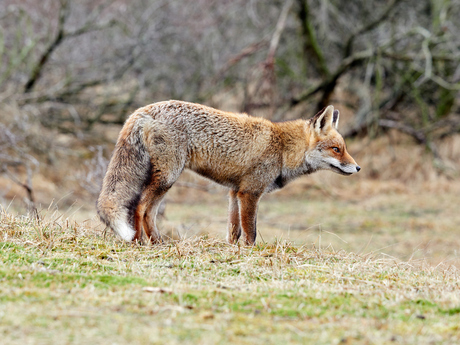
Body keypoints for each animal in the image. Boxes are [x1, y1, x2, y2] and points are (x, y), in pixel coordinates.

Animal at [96, 99, 360, 245]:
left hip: (165, 179)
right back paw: (139, 242)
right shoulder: (250, 193)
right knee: (140, 208)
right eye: (336, 149)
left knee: (148, 212)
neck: (282, 148)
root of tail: (143, 109)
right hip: (168, 177)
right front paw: (250, 253)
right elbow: (251, 231)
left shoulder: (234, 192)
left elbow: (234, 231)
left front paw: (232, 251)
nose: (357, 167)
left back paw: (156, 242)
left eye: (344, 149)